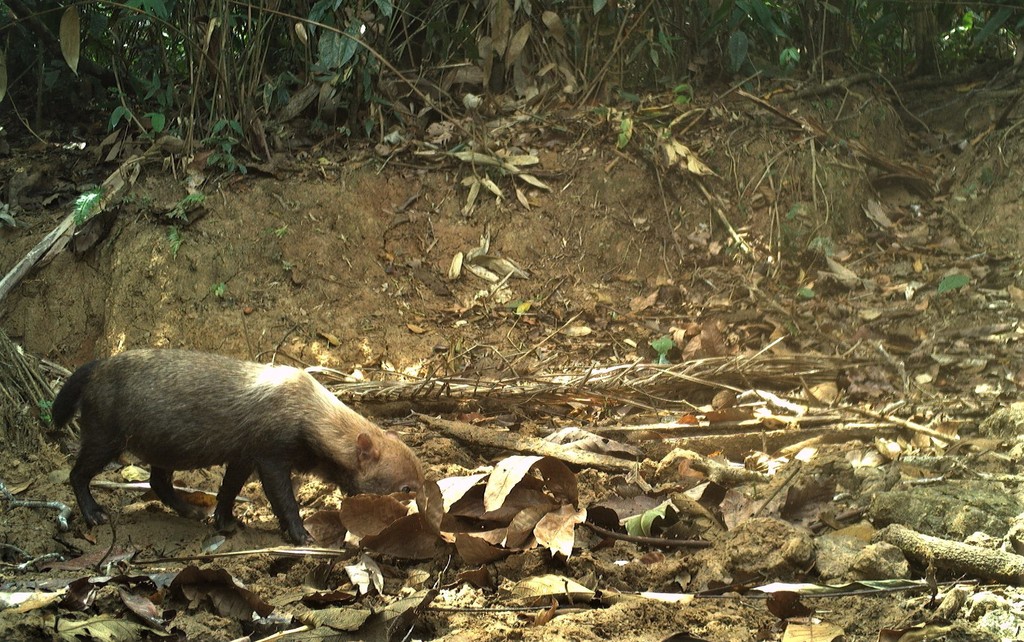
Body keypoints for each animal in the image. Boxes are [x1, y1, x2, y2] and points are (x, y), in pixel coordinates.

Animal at [54, 348, 421, 544]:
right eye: (406, 487)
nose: (427, 505)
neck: (308, 410)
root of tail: (96, 367)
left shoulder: (243, 456)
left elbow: (228, 490)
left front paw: (224, 521)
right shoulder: (271, 455)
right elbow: (283, 500)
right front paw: (301, 534)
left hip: (164, 448)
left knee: (158, 482)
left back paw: (189, 510)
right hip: (105, 437)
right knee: (77, 474)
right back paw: (93, 513)